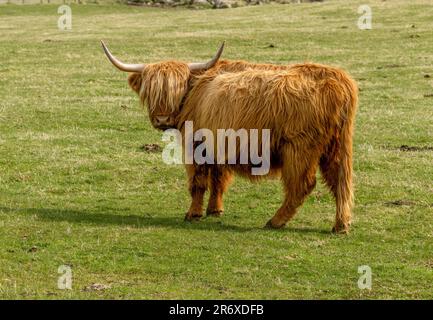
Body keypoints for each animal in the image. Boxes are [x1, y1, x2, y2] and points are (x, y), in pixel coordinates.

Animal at [102, 42, 358, 232]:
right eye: (150, 91)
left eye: (175, 90)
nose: (163, 120)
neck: (195, 91)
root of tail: (339, 80)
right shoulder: (219, 144)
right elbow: (218, 179)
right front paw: (215, 210)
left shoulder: (196, 145)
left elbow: (198, 181)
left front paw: (193, 213)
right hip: (338, 145)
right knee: (341, 181)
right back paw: (341, 225)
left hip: (299, 146)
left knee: (302, 185)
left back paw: (275, 221)